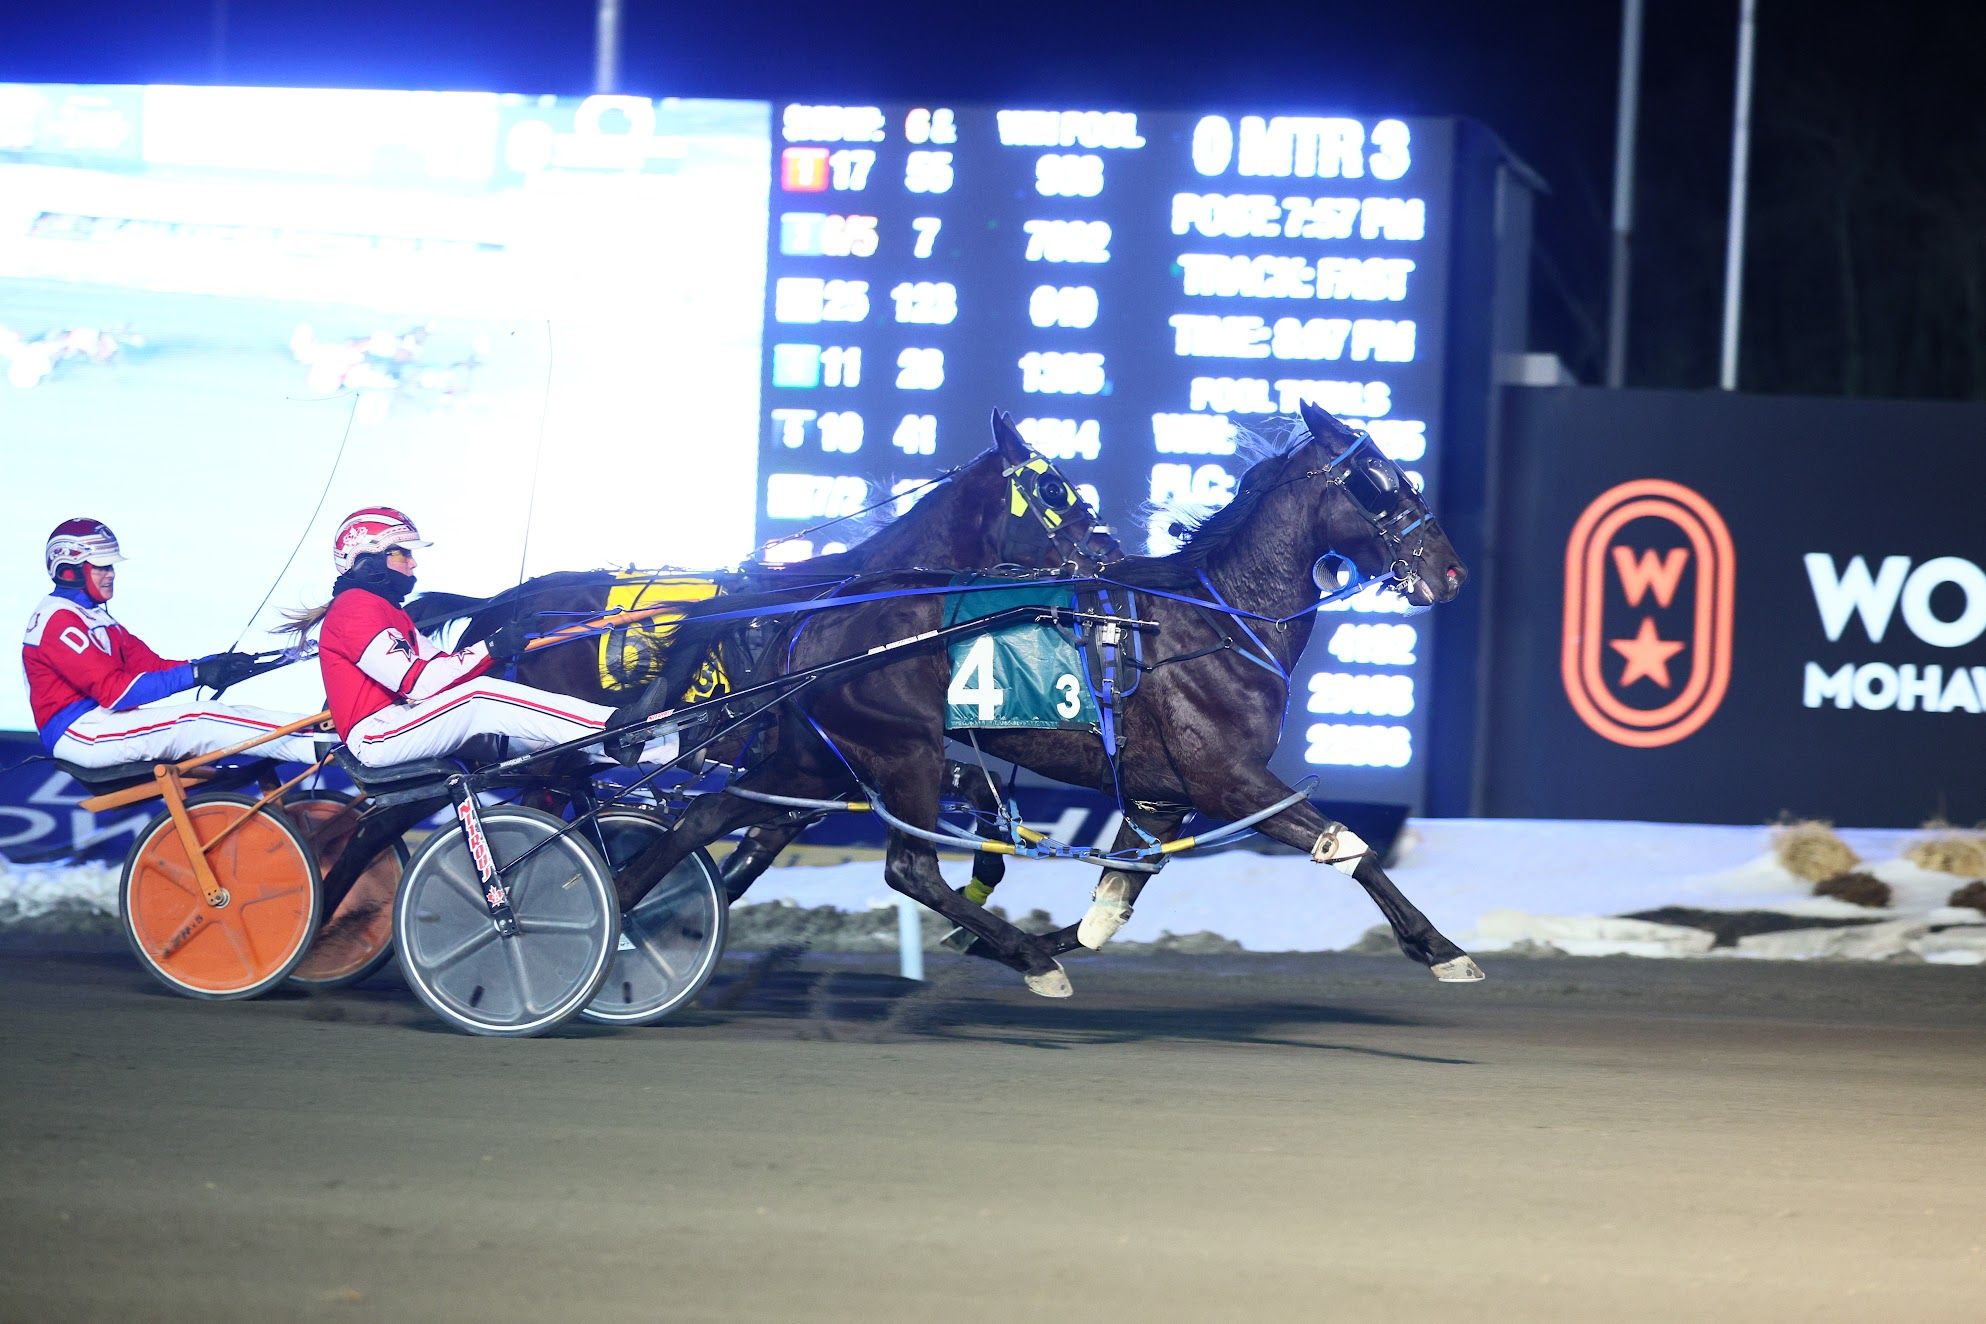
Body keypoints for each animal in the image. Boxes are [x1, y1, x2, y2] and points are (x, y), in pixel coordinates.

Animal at [615, 398, 1477, 1000]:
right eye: (1381, 481)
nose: (1451, 570)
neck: (1218, 615)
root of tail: (815, 613)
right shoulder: (1228, 781)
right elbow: (1350, 846)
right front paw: (1441, 949)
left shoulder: (1159, 799)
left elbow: (1109, 907)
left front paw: (1009, 943)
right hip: (903, 750)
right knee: (908, 868)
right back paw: (1024, 955)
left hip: (813, 758)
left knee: (704, 818)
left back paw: (618, 909)